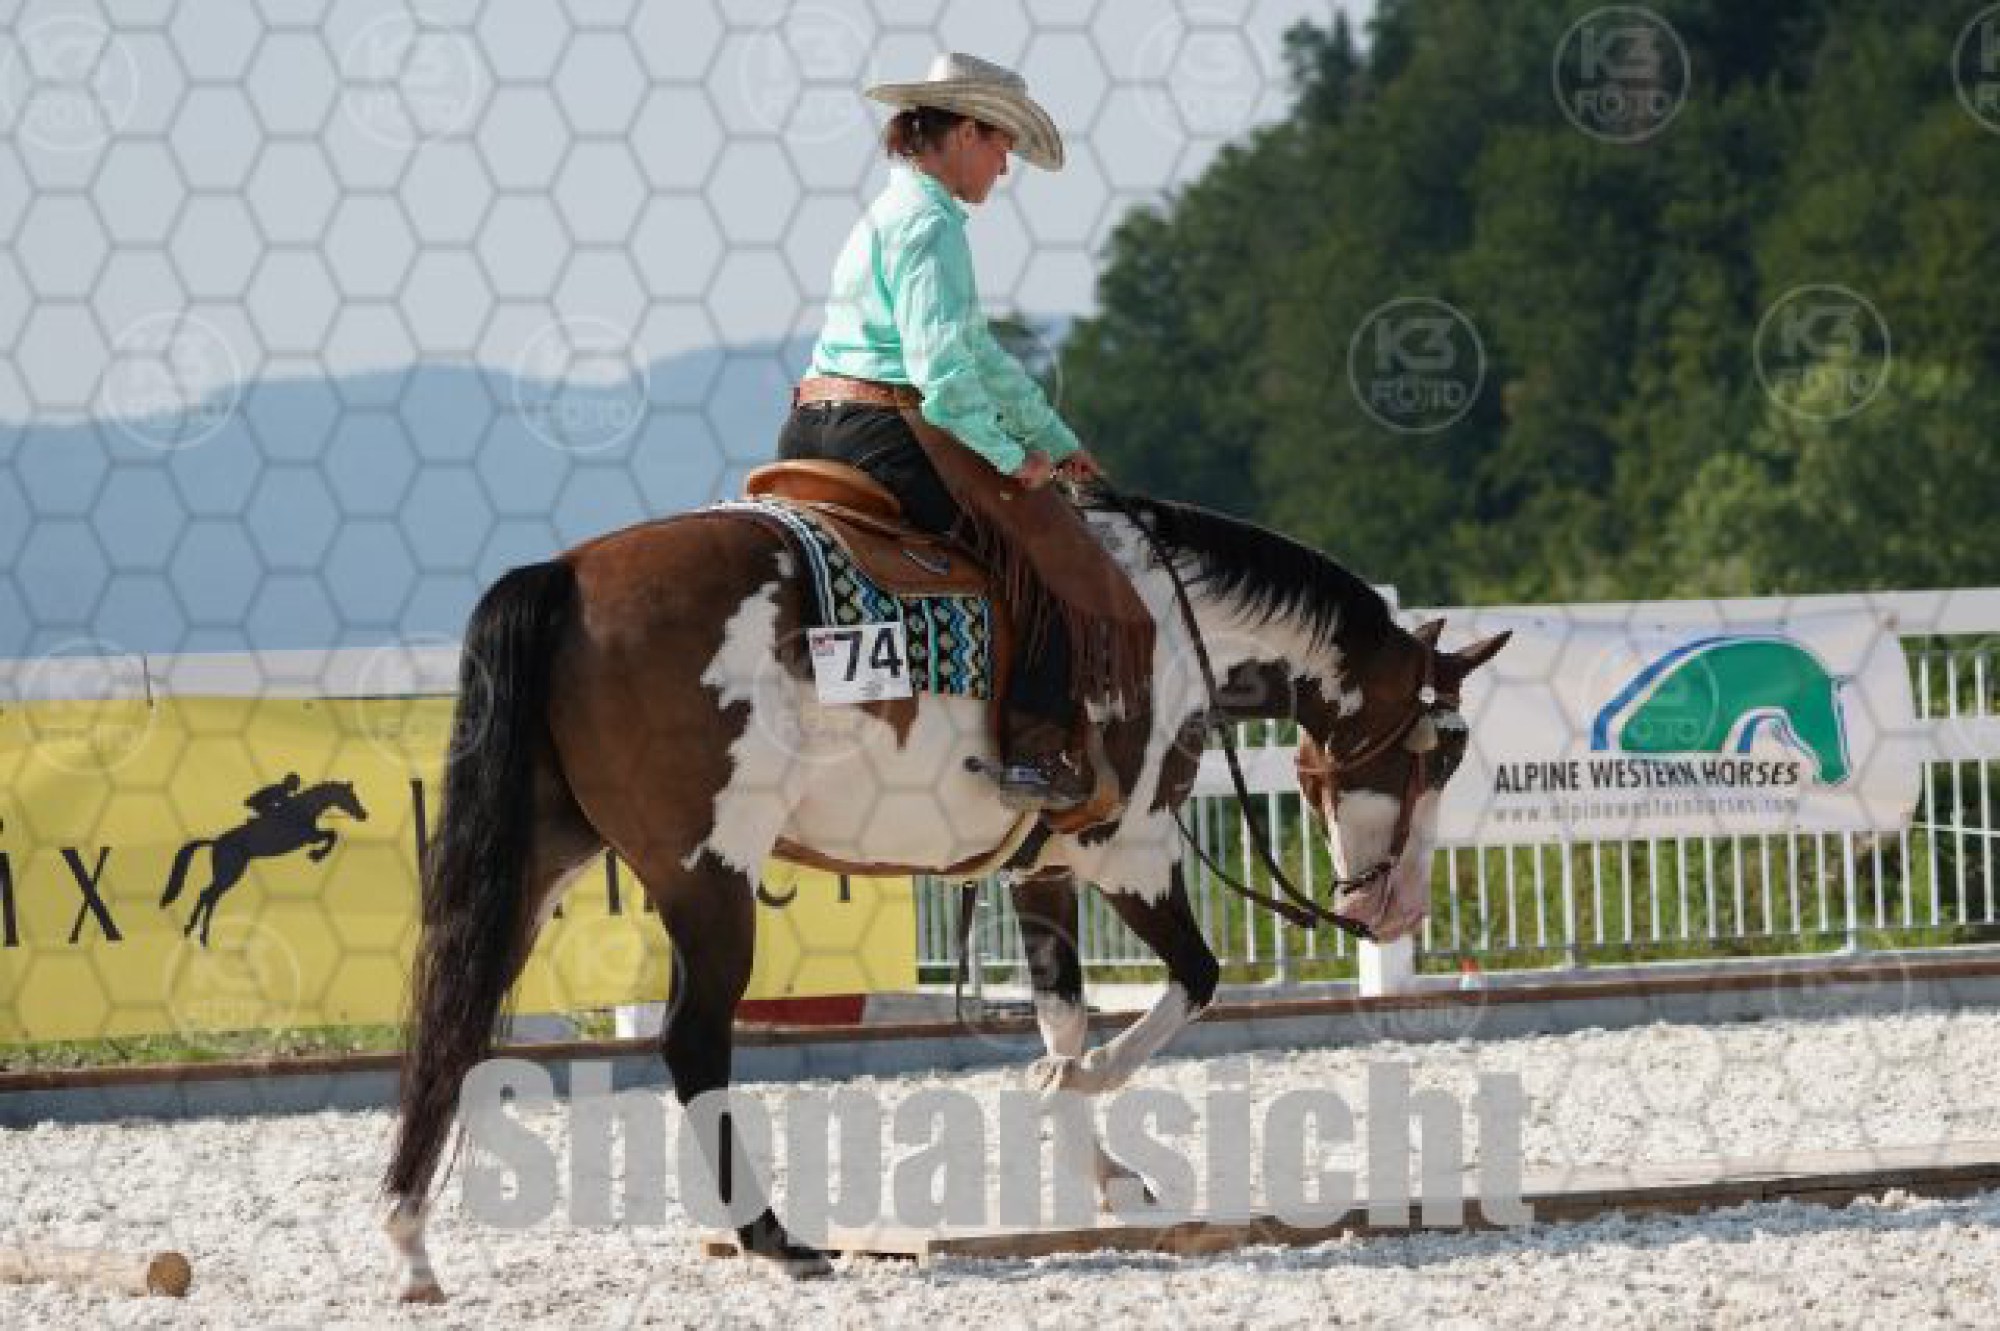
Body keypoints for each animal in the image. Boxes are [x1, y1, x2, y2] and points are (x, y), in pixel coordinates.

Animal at [158, 780, 370, 946]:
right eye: (351, 797)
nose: (364, 815)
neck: (303, 808)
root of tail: (216, 842)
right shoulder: (308, 837)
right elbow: (331, 835)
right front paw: (316, 856)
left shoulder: (310, 835)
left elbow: (331, 835)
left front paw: (316, 855)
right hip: (230, 873)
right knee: (207, 895)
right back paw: (197, 933)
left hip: (228, 874)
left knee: (209, 896)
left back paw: (196, 933)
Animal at [378, 492, 1507, 1301]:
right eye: (1444, 747)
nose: (1398, 908)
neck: (1169, 624)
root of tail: (565, 575)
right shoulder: (1131, 848)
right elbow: (1193, 979)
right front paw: (1080, 1085)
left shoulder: (1044, 869)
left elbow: (1063, 1012)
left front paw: (1099, 1168)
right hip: (710, 872)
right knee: (691, 1040)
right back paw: (776, 1237)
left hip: (540, 858)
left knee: (454, 1022)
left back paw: (411, 1244)